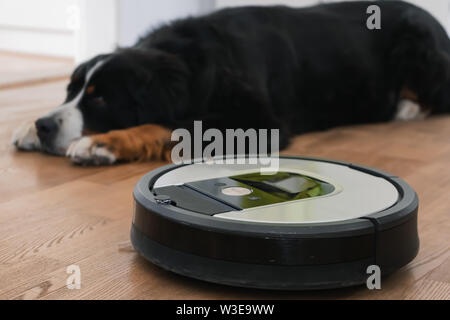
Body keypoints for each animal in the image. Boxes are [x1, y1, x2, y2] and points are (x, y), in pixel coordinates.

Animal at [11, 2, 450, 166]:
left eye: (100, 100)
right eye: (71, 91)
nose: (46, 126)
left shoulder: (259, 121)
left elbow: (173, 125)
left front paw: (104, 142)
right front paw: (28, 125)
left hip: (420, 49)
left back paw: (405, 107)